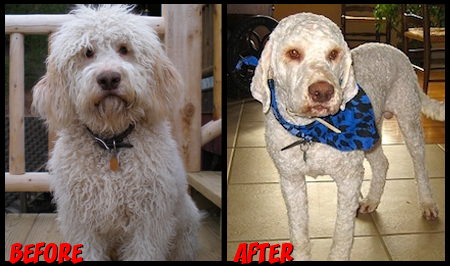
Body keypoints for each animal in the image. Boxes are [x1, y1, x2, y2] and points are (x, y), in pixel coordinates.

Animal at [34, 5, 203, 260]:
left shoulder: (148, 222)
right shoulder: (81, 221)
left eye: (124, 49)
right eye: (87, 52)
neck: (111, 141)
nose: (109, 78)